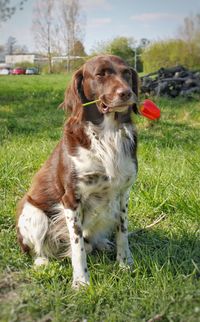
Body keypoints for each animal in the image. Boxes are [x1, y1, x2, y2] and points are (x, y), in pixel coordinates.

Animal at [16, 54, 138, 288]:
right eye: (100, 74)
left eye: (127, 72)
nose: (127, 93)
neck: (107, 135)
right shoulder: (71, 199)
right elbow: (77, 246)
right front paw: (81, 281)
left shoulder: (123, 193)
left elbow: (123, 233)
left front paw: (125, 263)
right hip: (34, 214)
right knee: (38, 248)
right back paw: (42, 261)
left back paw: (102, 244)